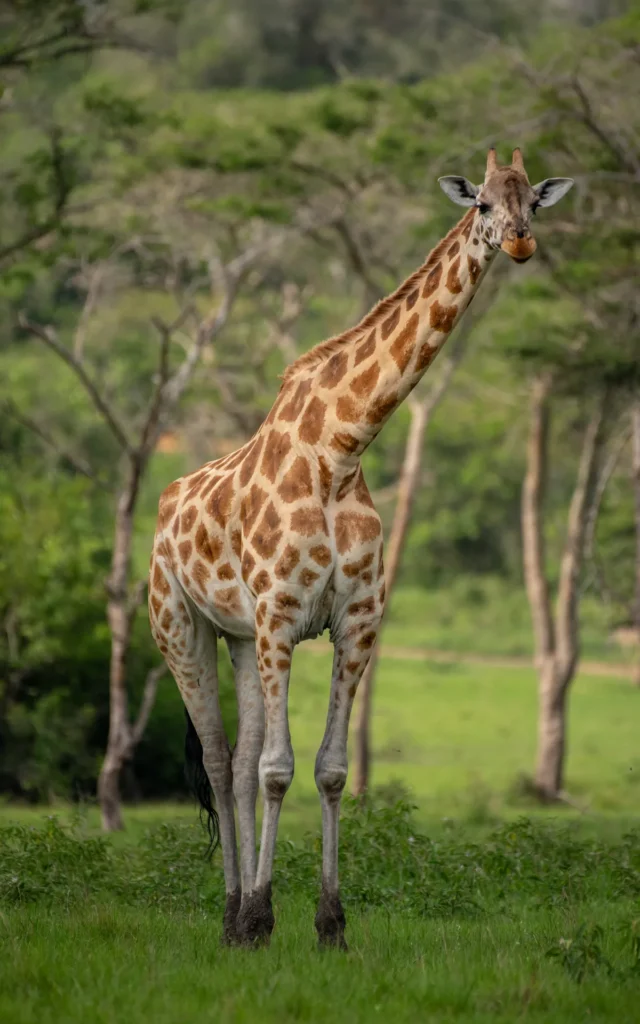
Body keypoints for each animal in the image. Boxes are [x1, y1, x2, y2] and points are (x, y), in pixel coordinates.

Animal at [148, 148, 573, 948]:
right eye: (481, 204)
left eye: (533, 200)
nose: (521, 241)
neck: (341, 449)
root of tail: (161, 510)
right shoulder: (282, 615)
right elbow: (278, 769)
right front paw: (264, 918)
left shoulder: (356, 623)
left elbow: (329, 769)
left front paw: (328, 924)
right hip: (178, 626)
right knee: (220, 760)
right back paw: (232, 915)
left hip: (238, 637)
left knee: (239, 759)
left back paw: (236, 912)